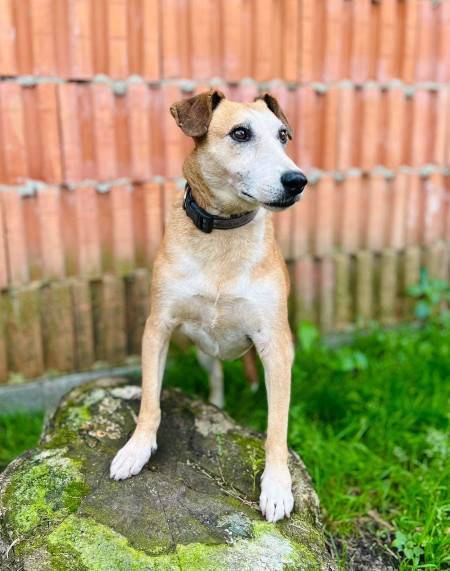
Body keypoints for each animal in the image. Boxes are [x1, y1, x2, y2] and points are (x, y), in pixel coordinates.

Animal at [110, 89, 307, 523]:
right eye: (240, 133)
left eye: (283, 135)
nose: (298, 181)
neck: (222, 231)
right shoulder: (158, 326)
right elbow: (151, 398)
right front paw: (137, 448)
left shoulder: (276, 346)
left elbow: (277, 425)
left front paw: (277, 485)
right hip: (200, 349)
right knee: (210, 376)